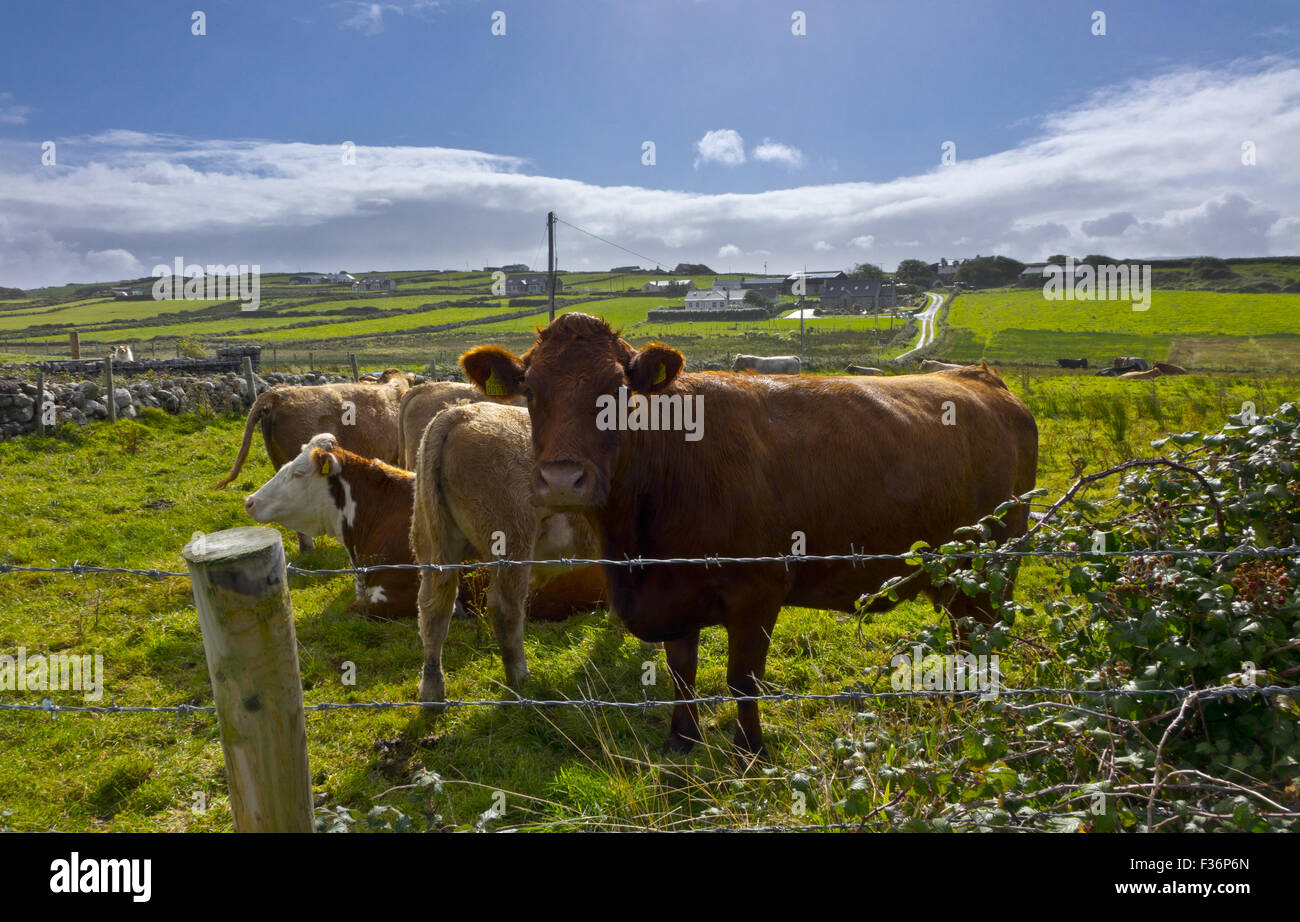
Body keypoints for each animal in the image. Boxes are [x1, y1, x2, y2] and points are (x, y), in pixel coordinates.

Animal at [410, 402, 606, 700]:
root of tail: (460, 412)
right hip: (512, 538)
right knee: (505, 608)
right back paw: (520, 679)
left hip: (431, 543)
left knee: (433, 609)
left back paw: (432, 689)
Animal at [460, 313, 1039, 755]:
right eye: (530, 391)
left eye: (619, 392)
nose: (563, 480)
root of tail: (981, 376)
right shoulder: (674, 594)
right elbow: (681, 671)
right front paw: (682, 741)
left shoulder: (758, 591)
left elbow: (742, 679)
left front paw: (749, 750)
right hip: (957, 577)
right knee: (964, 638)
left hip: (993, 566)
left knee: (982, 639)